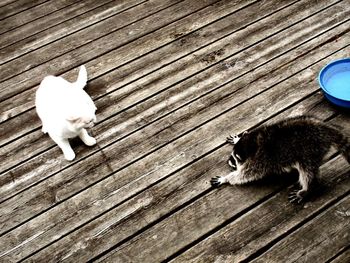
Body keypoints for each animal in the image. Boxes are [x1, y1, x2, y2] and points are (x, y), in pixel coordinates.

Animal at [211, 116, 350, 205]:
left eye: (235, 159)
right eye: (232, 156)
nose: (229, 161)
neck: (254, 143)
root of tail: (324, 129)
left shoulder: (259, 161)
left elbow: (245, 175)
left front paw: (226, 178)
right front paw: (237, 139)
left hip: (309, 152)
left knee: (308, 172)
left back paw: (307, 189)